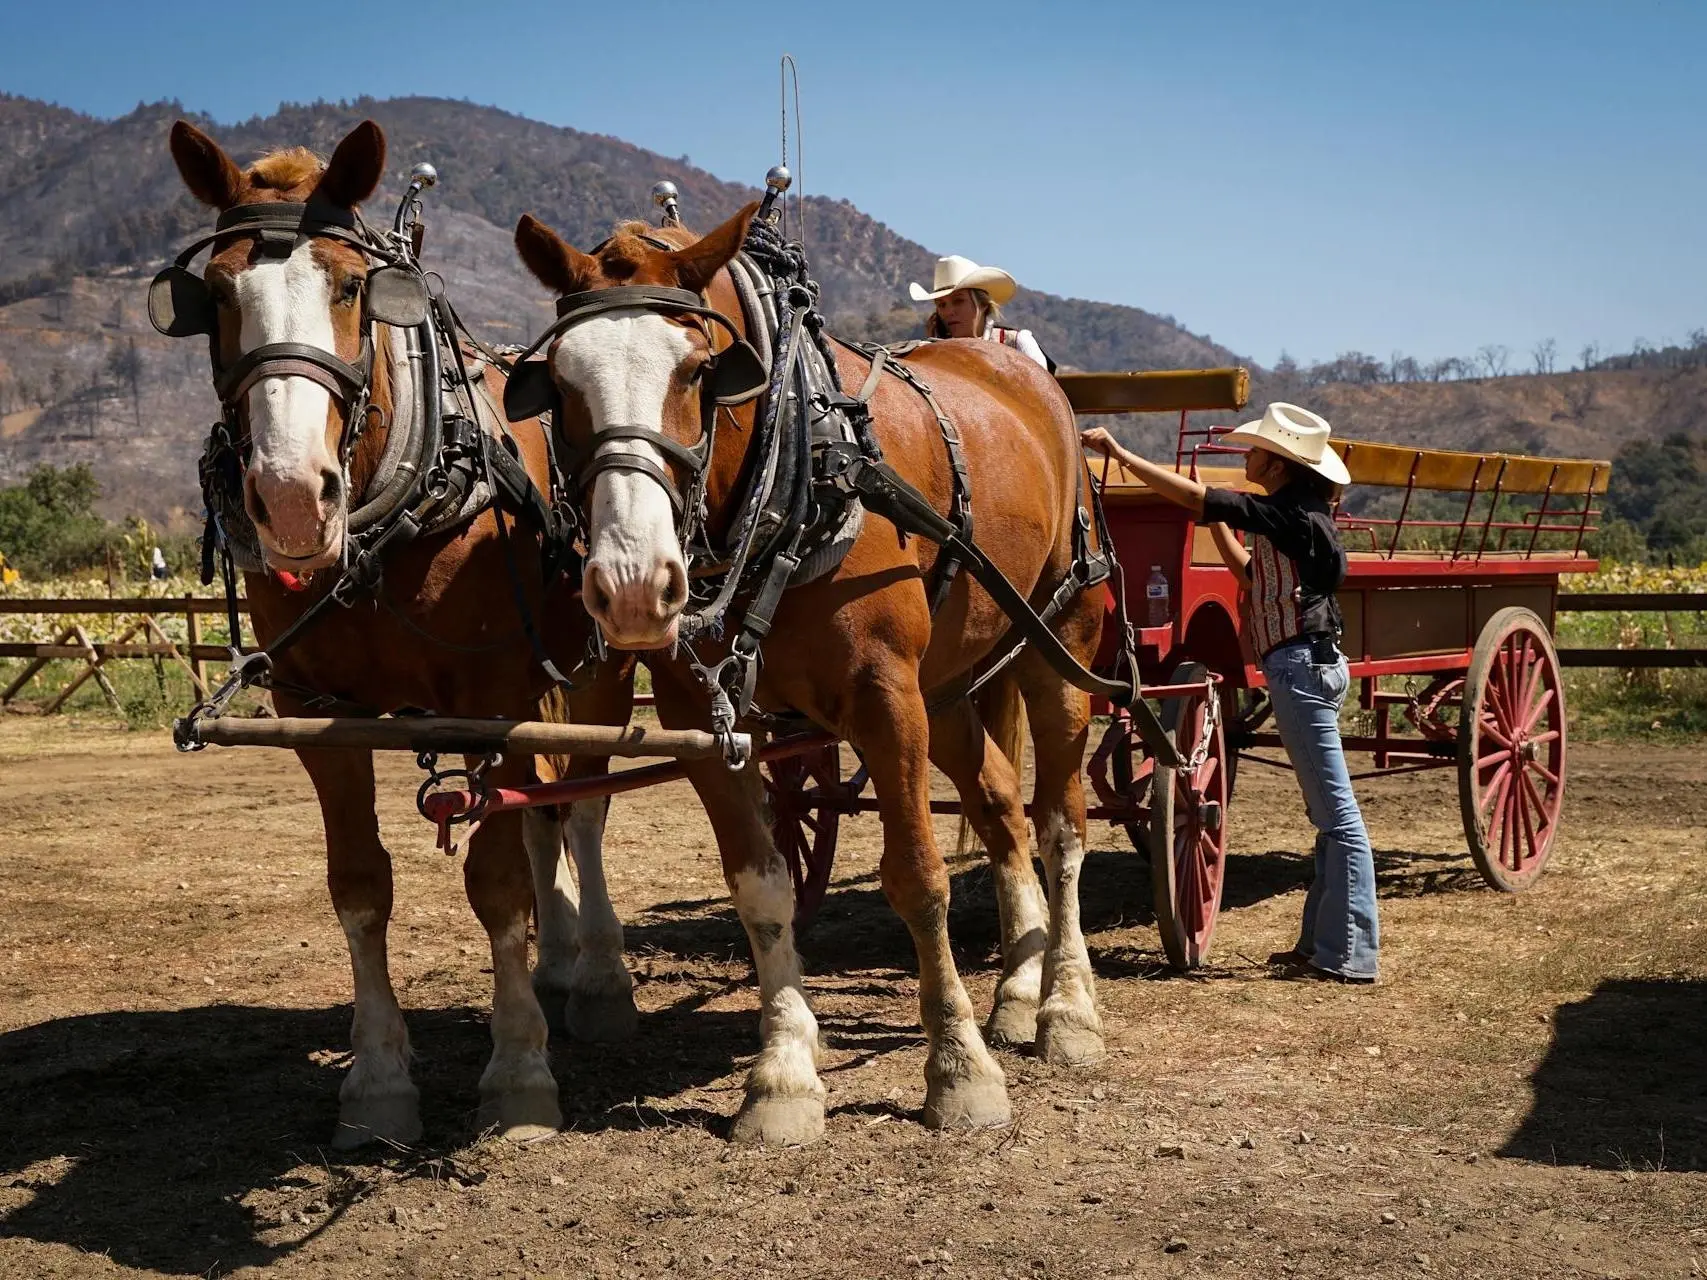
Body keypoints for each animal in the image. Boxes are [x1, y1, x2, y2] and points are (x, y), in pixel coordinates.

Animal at [168, 122, 587, 1153]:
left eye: (352, 287)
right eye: (215, 296)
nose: (288, 497)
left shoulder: (493, 701)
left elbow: (494, 883)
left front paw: (519, 1076)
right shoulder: (318, 711)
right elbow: (359, 884)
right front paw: (378, 1083)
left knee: (575, 808)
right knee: (549, 807)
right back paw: (561, 968)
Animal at [512, 205, 1112, 1146]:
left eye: (698, 370)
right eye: (560, 381)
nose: (633, 583)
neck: (799, 473)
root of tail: (1028, 377)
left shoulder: (884, 699)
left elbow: (917, 877)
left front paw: (959, 1070)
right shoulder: (706, 717)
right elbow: (762, 888)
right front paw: (783, 1075)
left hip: (1061, 646)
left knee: (1060, 824)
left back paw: (1066, 1009)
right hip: (948, 689)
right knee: (1001, 807)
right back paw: (1017, 992)